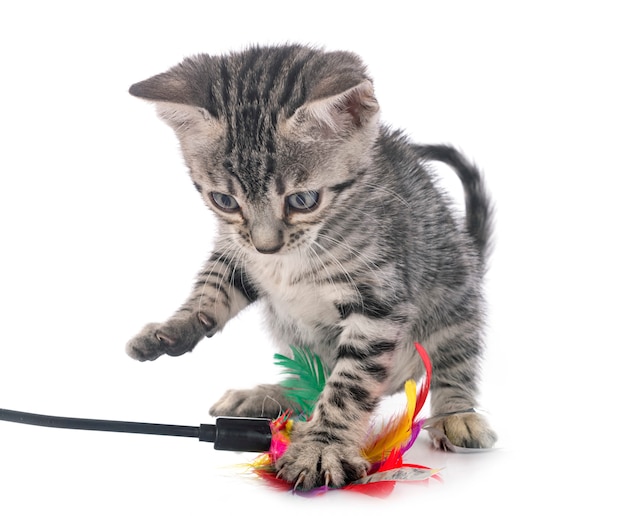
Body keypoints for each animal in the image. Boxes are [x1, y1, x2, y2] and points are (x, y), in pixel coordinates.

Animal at [127, 43, 494, 488]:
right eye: (225, 201)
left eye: (303, 201)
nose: (267, 246)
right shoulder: (239, 251)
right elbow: (215, 283)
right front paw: (176, 326)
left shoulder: (378, 299)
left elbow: (350, 382)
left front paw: (321, 446)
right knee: (312, 372)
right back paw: (271, 396)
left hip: (455, 290)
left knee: (454, 358)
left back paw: (457, 414)